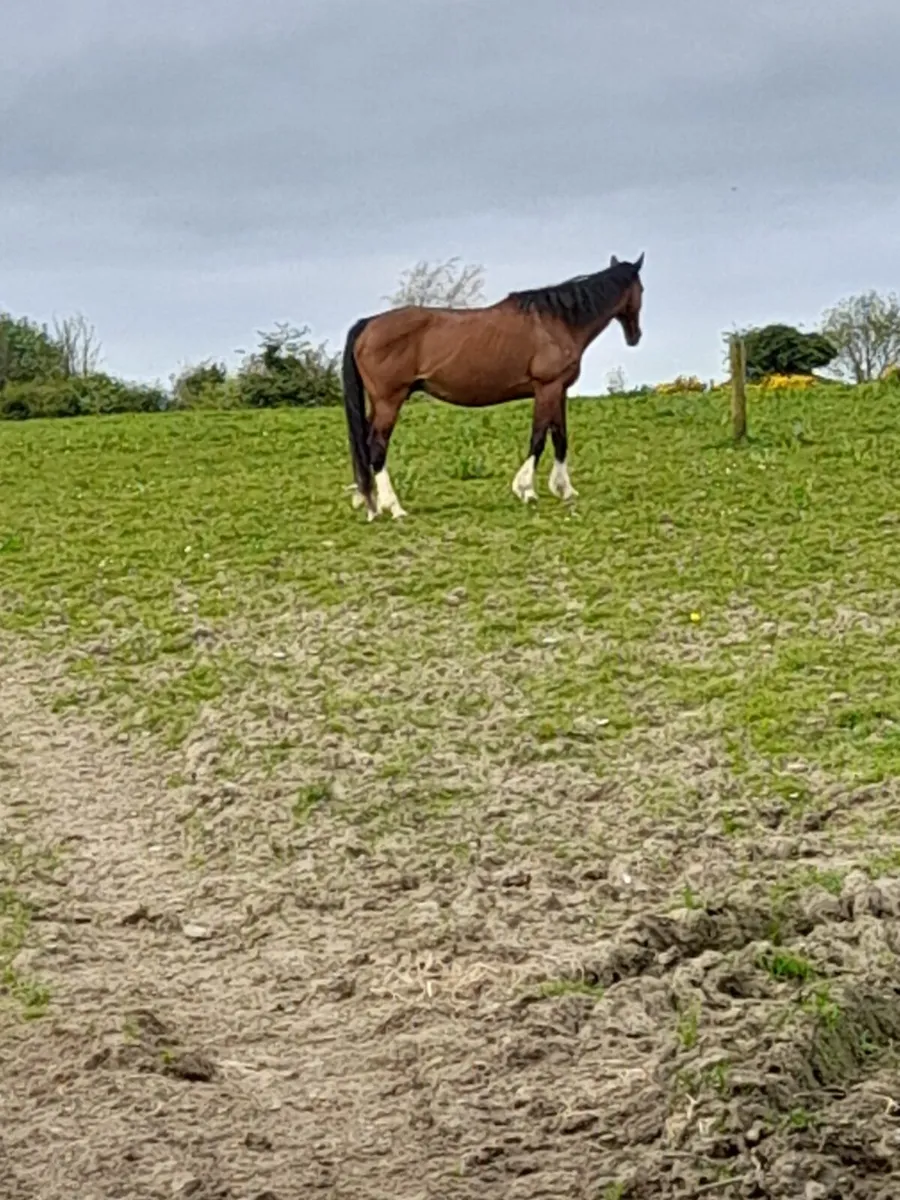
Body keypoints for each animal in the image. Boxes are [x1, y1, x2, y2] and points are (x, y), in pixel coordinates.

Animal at [341, 253, 645, 520]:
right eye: (641, 289)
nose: (636, 336)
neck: (555, 321)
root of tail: (368, 324)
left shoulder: (559, 390)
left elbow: (560, 438)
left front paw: (564, 489)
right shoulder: (546, 388)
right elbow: (538, 438)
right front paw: (526, 490)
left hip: (378, 403)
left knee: (365, 447)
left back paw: (371, 505)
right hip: (389, 401)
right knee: (377, 447)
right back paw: (394, 508)